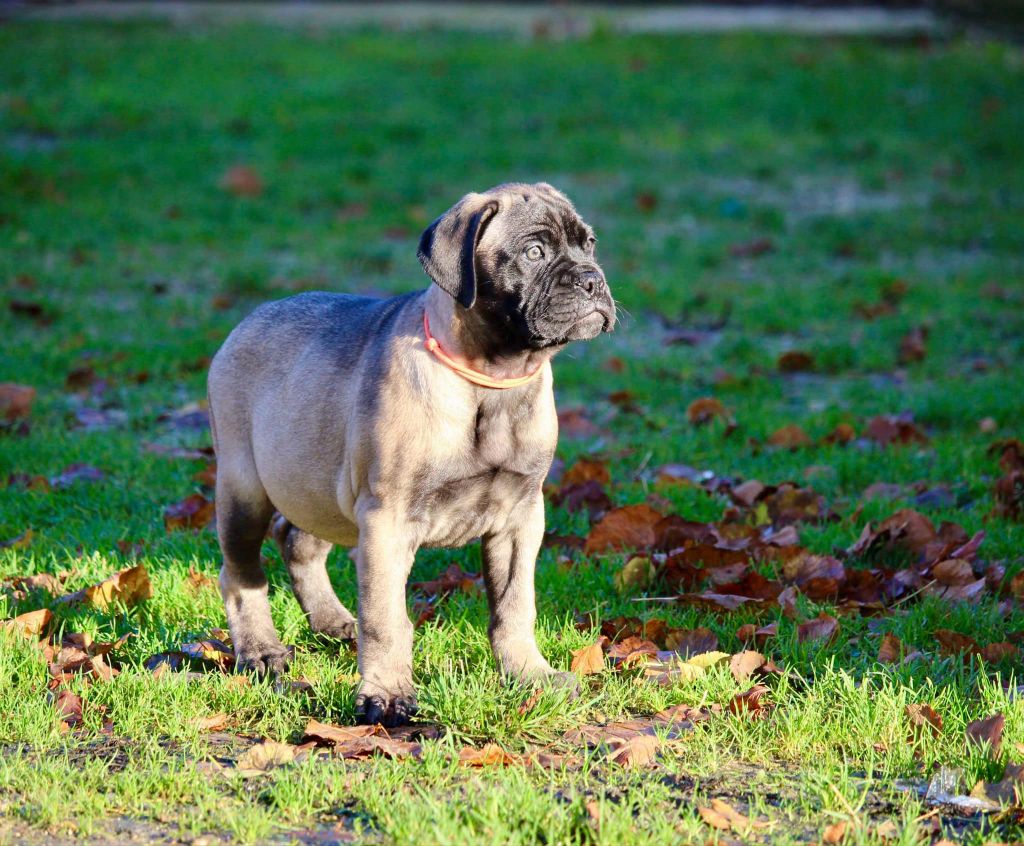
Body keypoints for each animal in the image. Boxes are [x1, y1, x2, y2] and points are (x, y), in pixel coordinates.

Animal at [203, 181, 610, 721]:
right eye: (534, 252)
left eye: (590, 245)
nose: (592, 280)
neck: (493, 379)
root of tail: (249, 317)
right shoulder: (387, 519)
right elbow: (387, 619)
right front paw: (387, 694)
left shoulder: (521, 516)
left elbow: (514, 604)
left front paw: (529, 674)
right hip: (244, 488)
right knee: (240, 573)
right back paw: (261, 650)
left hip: (318, 483)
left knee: (297, 539)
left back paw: (331, 621)